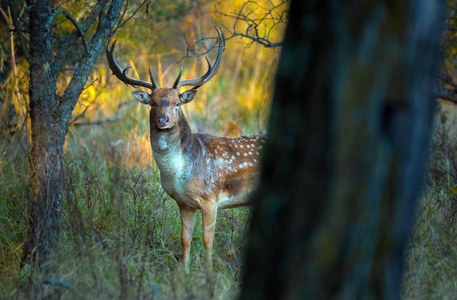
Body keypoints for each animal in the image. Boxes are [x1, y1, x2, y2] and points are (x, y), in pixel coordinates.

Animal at [106, 27, 264, 268]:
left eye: (177, 103)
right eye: (153, 102)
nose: (163, 120)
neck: (181, 172)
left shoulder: (210, 199)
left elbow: (207, 240)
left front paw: (208, 272)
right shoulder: (184, 203)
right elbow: (185, 239)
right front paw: (183, 271)